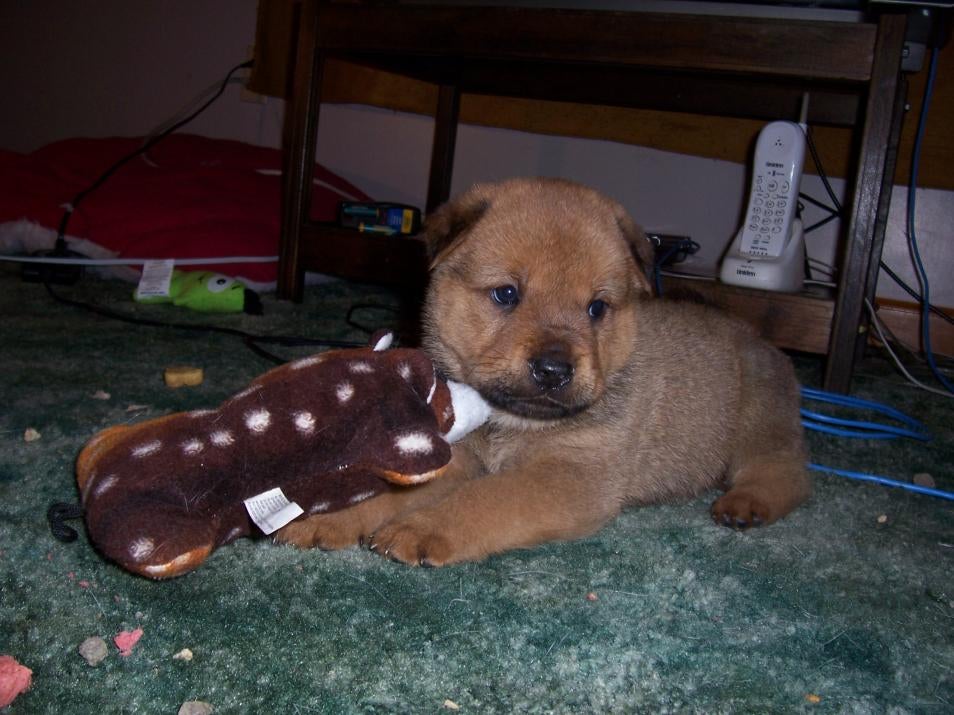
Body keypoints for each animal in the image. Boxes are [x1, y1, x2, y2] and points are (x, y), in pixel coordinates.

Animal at [272, 178, 808, 564]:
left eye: (597, 307)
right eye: (506, 293)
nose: (554, 369)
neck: (507, 422)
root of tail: (758, 337)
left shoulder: (570, 475)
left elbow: (490, 498)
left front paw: (420, 528)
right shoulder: (459, 455)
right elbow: (393, 487)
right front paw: (331, 519)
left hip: (758, 424)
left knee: (785, 471)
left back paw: (745, 505)